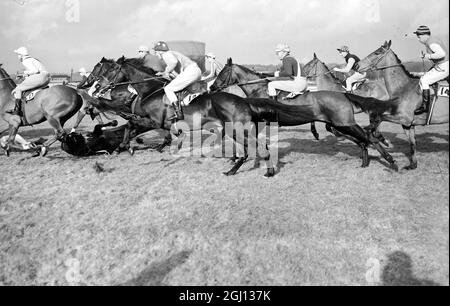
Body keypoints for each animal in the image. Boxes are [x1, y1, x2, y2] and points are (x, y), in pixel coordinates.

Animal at [89, 57, 400, 177]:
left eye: (103, 69)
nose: (91, 85)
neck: (152, 90)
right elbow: (132, 127)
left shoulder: (156, 120)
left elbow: (134, 126)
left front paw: (126, 145)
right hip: (337, 124)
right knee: (363, 137)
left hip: (340, 123)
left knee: (366, 135)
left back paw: (390, 159)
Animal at [354, 39, 448, 170]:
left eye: (377, 52)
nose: (356, 65)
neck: (403, 87)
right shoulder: (408, 124)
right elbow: (412, 144)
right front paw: (412, 165)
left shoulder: (404, 118)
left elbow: (379, 118)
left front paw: (378, 136)